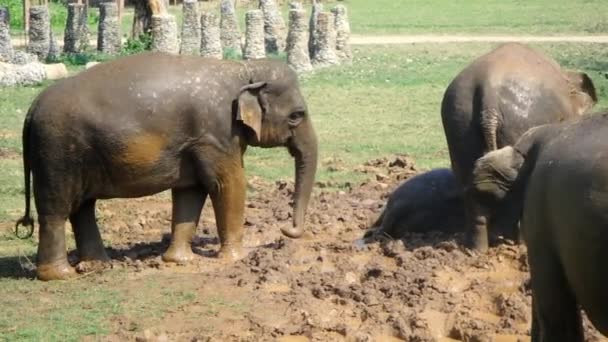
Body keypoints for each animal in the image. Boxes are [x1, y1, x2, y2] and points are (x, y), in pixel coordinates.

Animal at [13, 51, 318, 280]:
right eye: (296, 115)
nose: (286, 231)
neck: (243, 70)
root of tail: (32, 109)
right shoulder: (216, 133)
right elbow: (228, 184)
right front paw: (237, 258)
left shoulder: (196, 141)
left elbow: (191, 191)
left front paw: (179, 260)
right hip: (56, 152)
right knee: (57, 210)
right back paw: (60, 275)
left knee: (82, 207)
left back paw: (99, 265)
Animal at [440, 42, 596, 251]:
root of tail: (489, 93)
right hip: (518, 122)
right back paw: (518, 245)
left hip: (459, 121)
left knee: (470, 187)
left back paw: (477, 249)